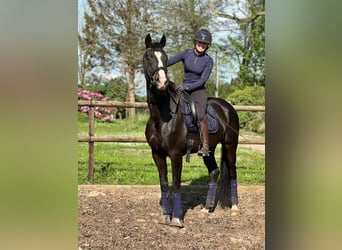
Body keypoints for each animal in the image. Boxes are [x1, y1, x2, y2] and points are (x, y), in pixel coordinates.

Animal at [143, 34, 239, 228]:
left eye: (165, 58)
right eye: (148, 57)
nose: (161, 82)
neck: (161, 116)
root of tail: (227, 107)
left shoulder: (175, 154)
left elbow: (176, 184)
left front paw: (177, 219)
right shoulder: (156, 154)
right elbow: (164, 184)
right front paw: (166, 215)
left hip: (230, 145)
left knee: (232, 171)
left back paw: (234, 207)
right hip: (209, 150)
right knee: (214, 172)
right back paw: (207, 208)